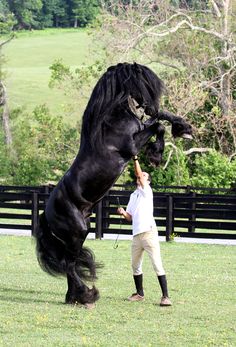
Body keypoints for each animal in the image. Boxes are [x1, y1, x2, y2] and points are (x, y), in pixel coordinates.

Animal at [34, 61, 192, 308]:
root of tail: (46, 213)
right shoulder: (132, 146)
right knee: (68, 264)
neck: (109, 123)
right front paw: (156, 154)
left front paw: (182, 128)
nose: (150, 107)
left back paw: (73, 298)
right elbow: (158, 126)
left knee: (70, 263)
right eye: (143, 82)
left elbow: (159, 121)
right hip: (77, 232)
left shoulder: (141, 129)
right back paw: (86, 295)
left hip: (78, 233)